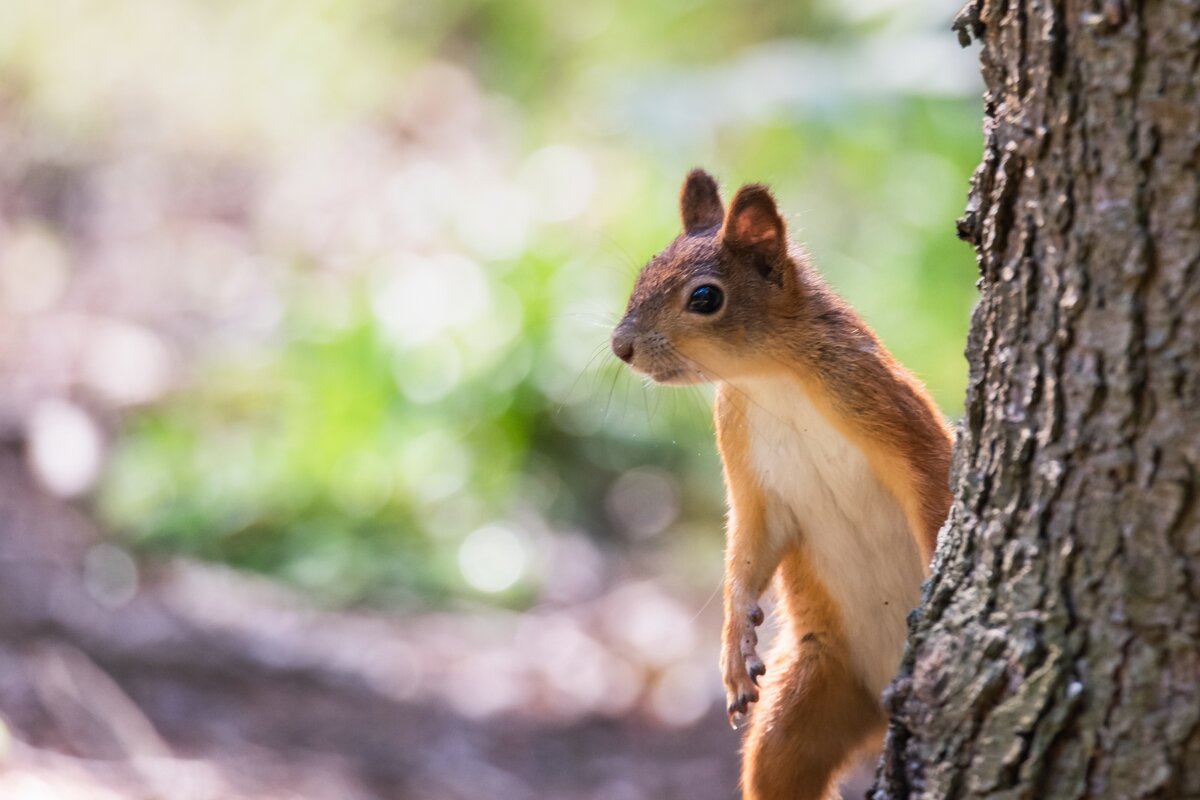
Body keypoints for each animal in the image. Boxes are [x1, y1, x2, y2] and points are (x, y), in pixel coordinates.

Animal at [614, 170, 950, 800]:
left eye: (705, 298)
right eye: (644, 271)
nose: (621, 348)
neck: (769, 379)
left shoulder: (894, 416)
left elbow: (935, 496)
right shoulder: (750, 477)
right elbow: (749, 547)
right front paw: (732, 643)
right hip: (813, 690)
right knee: (779, 762)